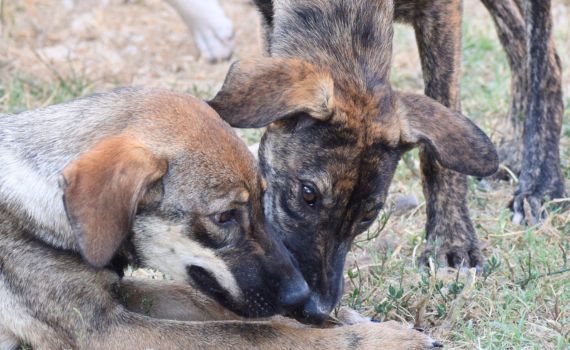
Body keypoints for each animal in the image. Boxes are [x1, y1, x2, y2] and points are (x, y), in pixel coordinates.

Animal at [0, 87, 440, 348]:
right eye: (225, 216)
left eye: (265, 199)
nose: (303, 298)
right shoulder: (104, 330)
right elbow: (252, 333)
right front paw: (372, 339)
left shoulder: (124, 294)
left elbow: (214, 306)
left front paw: (351, 323)